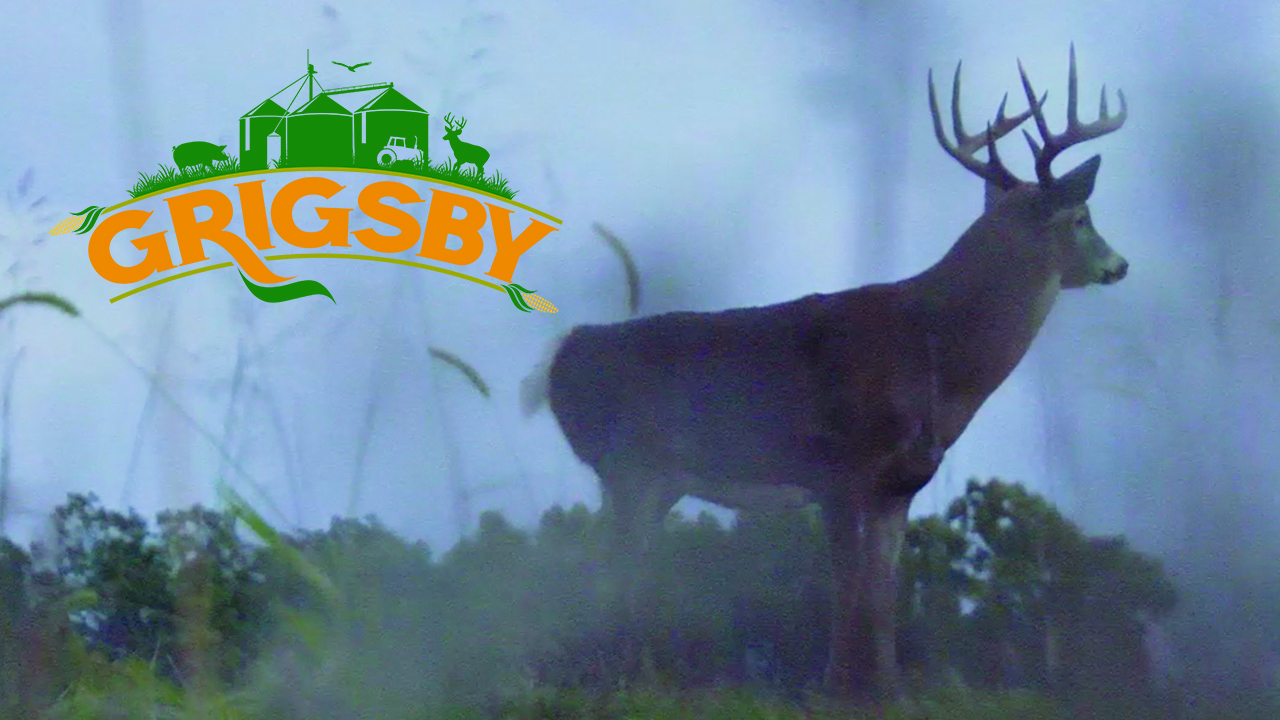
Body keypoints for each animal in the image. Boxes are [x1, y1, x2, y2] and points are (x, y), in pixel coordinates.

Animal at [520, 44, 1128, 701]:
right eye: (1081, 217)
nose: (1119, 264)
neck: (935, 358)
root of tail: (563, 352)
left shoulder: (898, 485)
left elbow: (883, 596)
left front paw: (888, 694)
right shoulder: (840, 468)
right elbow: (848, 591)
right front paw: (837, 690)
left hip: (655, 481)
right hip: (630, 466)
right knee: (603, 571)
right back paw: (616, 680)